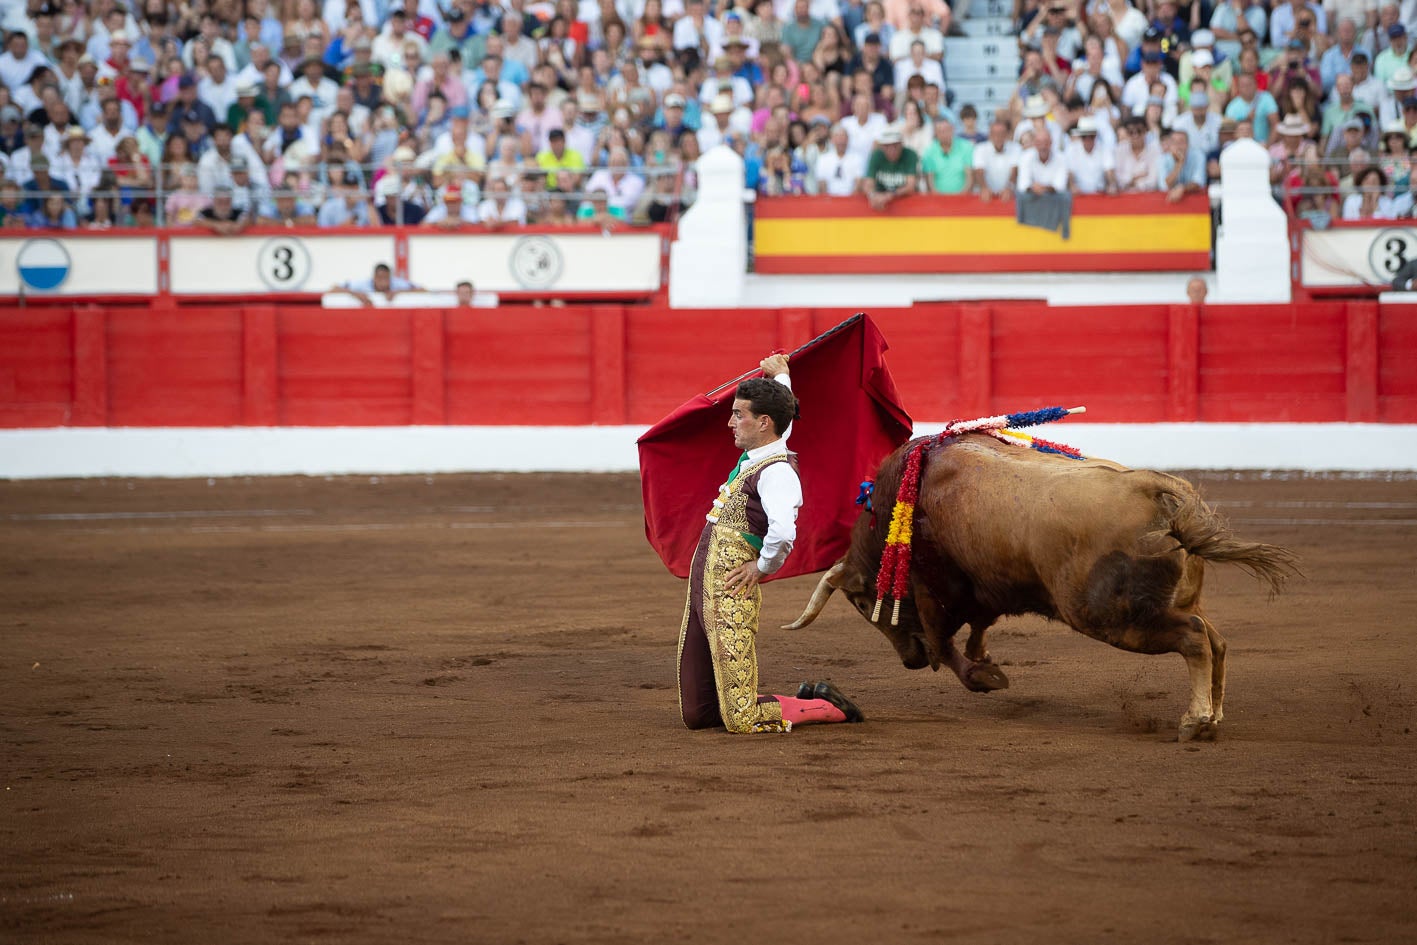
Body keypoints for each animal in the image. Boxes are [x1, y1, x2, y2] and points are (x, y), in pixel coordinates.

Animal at [782, 433, 1297, 742]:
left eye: (862, 600)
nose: (908, 661)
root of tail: (1158, 492)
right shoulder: (984, 590)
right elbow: (977, 627)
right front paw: (985, 660)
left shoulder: (937, 591)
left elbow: (946, 643)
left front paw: (984, 676)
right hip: (1176, 601)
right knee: (1216, 639)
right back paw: (1215, 714)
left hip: (1115, 617)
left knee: (1193, 639)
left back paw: (1195, 722)